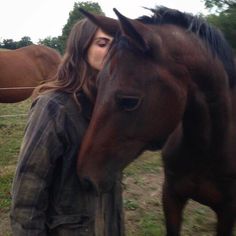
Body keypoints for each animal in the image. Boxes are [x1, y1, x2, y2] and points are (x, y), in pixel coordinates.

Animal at [77, 6, 236, 235]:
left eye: (129, 101)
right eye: (97, 85)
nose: (86, 179)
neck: (206, 150)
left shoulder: (227, 211)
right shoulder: (170, 197)